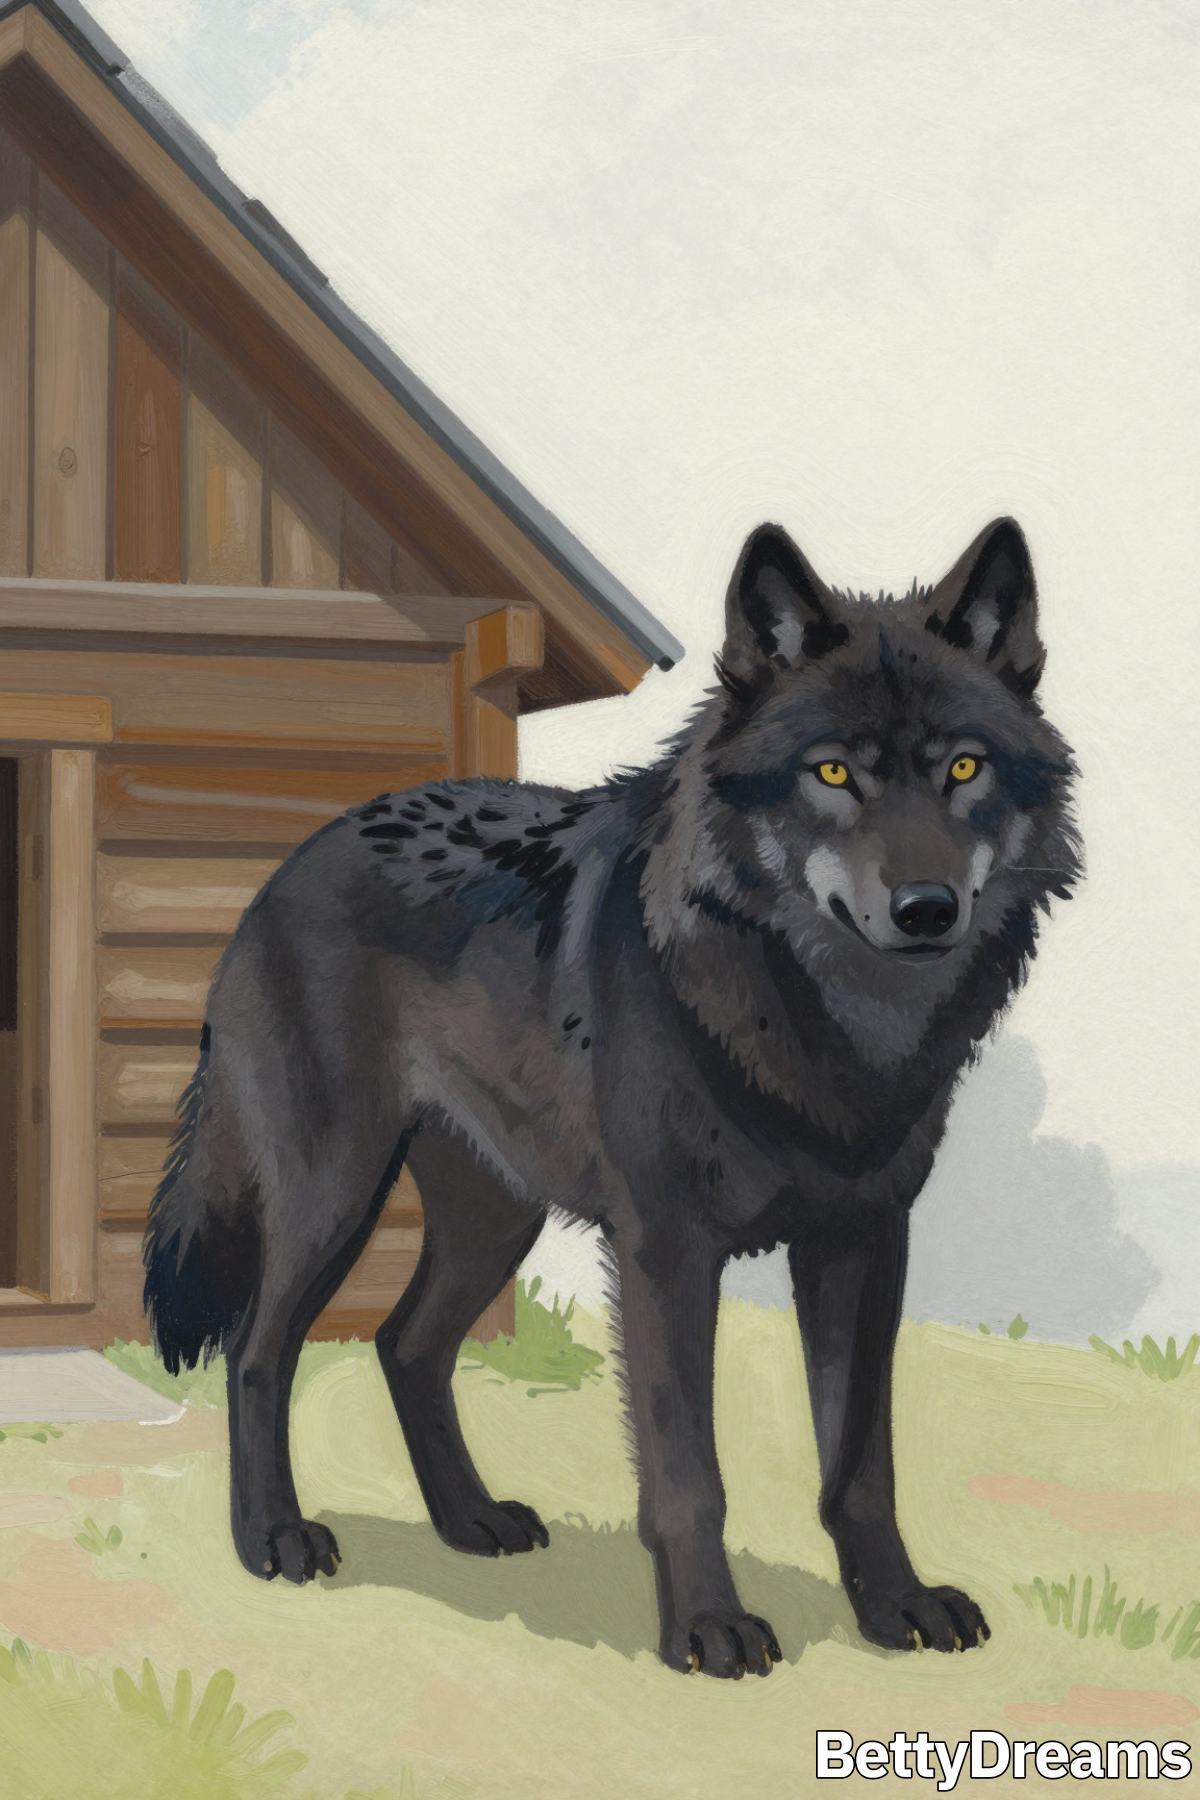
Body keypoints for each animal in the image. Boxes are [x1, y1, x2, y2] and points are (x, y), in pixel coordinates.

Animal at [144, 516, 1080, 1679]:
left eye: (963, 767)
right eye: (831, 773)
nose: (926, 907)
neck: (828, 1028)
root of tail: (286, 865)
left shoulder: (864, 1240)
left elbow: (861, 1462)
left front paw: (895, 1606)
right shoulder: (666, 1249)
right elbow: (689, 1472)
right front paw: (708, 1629)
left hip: (496, 1215)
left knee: (405, 1344)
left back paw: (471, 1521)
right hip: (335, 1196)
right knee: (258, 1350)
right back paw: (273, 1538)